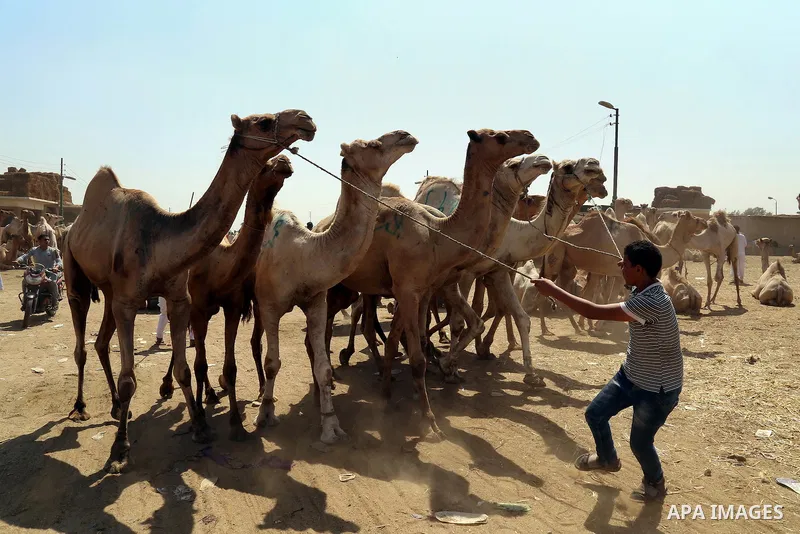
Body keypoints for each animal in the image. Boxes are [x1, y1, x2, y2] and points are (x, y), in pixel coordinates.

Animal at [157, 155, 295, 441]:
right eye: (264, 166)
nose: (285, 160)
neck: (218, 267)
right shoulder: (198, 310)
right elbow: (199, 365)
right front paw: (200, 421)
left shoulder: (232, 307)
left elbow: (230, 368)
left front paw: (236, 425)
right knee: (189, 349)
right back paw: (173, 388)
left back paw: (212, 393)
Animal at [252, 130, 418, 444]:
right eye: (373, 145)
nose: (407, 136)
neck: (304, 254)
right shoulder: (269, 305)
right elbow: (272, 362)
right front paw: (266, 414)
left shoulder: (317, 301)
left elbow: (324, 367)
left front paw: (330, 425)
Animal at [334, 128, 539, 438]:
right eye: (500, 137)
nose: (531, 137)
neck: (437, 234)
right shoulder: (408, 290)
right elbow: (416, 356)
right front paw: (429, 421)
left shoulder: (421, 289)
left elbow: (405, 339)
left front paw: (389, 394)